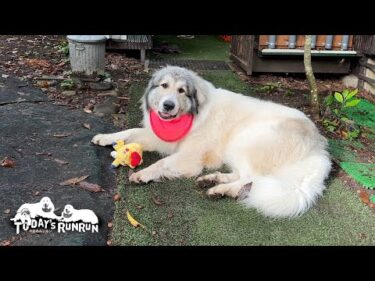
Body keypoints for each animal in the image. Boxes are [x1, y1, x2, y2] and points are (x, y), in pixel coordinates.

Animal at [92, 65, 332, 217]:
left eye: (182, 91)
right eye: (164, 86)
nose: (168, 105)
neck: (192, 114)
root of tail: (318, 148)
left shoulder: (189, 157)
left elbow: (161, 163)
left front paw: (143, 174)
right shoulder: (162, 140)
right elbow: (130, 131)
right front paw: (105, 137)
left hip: (245, 140)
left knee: (252, 178)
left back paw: (223, 190)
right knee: (242, 176)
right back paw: (213, 180)